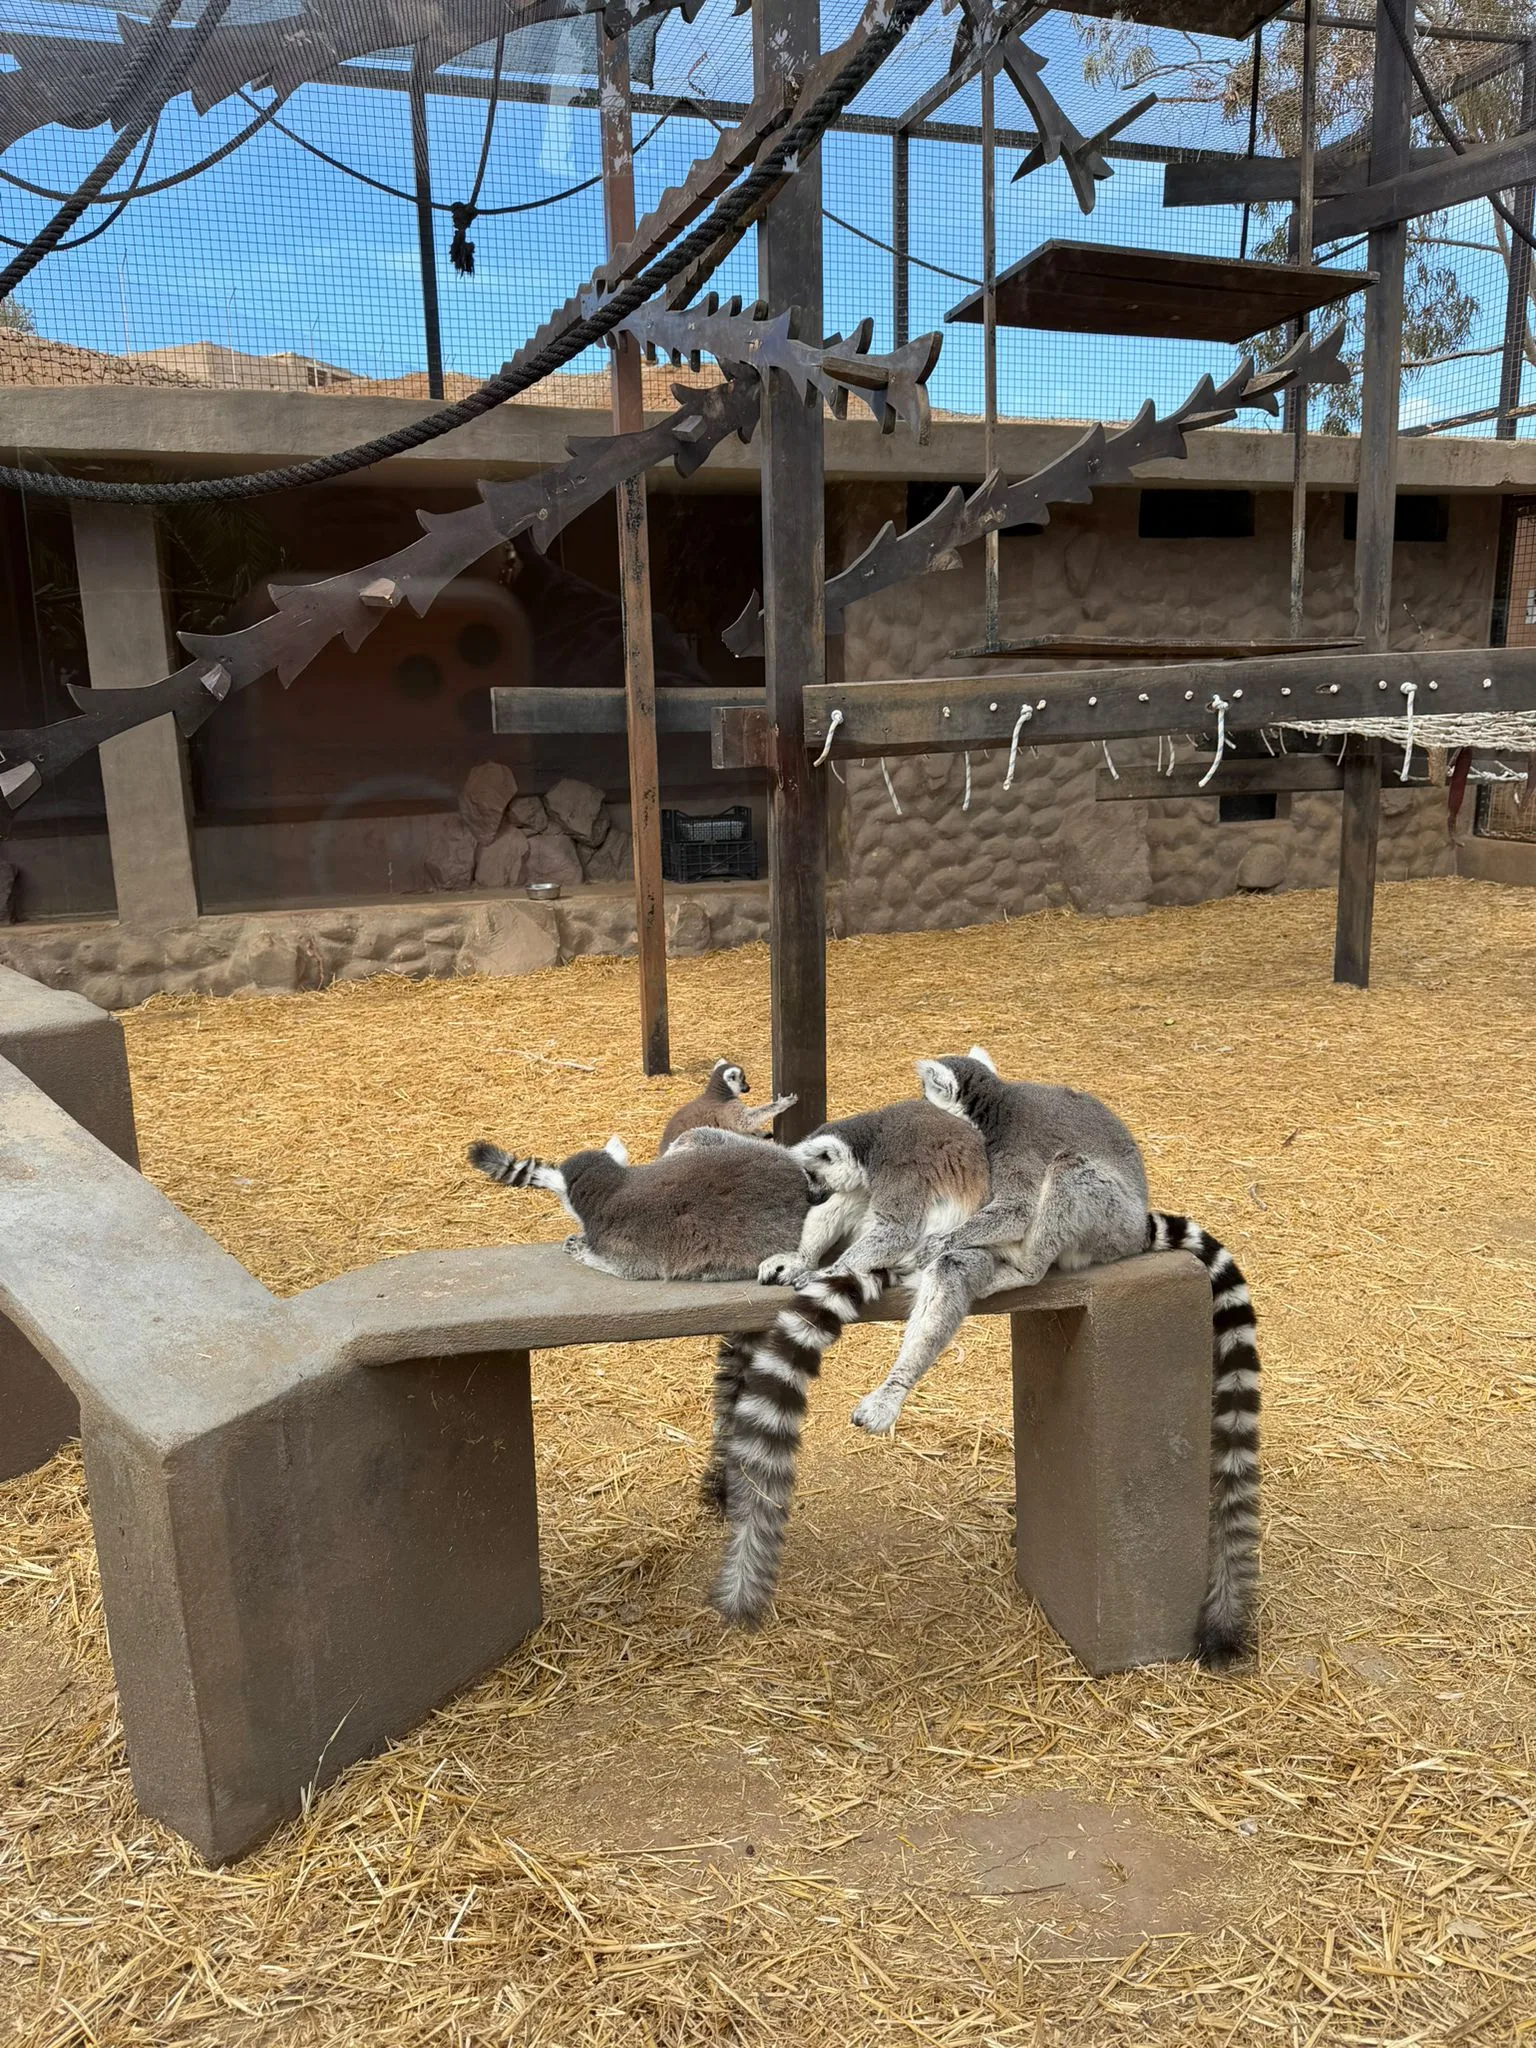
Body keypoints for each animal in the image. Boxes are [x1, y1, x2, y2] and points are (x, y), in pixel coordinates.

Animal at [658, 1059, 797, 1153]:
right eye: (743, 1079)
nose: (748, 1087)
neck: (718, 1095)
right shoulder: (726, 1109)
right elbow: (744, 1120)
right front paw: (783, 1103)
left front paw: (761, 1132)